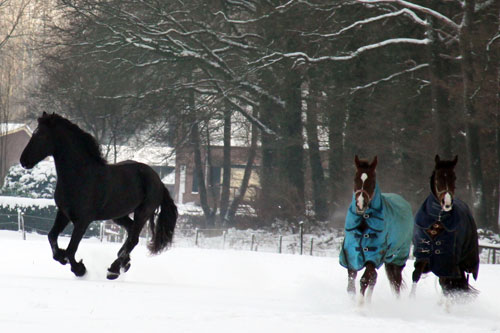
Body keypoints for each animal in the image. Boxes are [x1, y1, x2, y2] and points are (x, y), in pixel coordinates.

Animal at [19, 111, 178, 278]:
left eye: (41, 135)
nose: (23, 160)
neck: (80, 175)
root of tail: (159, 181)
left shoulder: (83, 220)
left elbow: (71, 250)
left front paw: (79, 269)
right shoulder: (63, 213)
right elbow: (52, 237)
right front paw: (62, 257)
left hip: (143, 212)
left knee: (134, 239)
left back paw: (114, 269)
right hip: (118, 215)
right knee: (130, 231)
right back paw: (124, 263)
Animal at [340, 156, 414, 304]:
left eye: (372, 181)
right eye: (355, 179)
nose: (360, 204)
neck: (364, 223)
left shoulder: (373, 256)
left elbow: (364, 279)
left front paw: (360, 305)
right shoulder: (351, 255)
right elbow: (351, 284)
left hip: (397, 258)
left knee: (395, 282)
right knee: (375, 278)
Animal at [412, 154, 478, 296]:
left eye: (454, 177)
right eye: (438, 178)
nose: (447, 203)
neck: (437, 221)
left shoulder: (448, 261)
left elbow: (448, 283)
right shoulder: (422, 255)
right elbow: (416, 276)